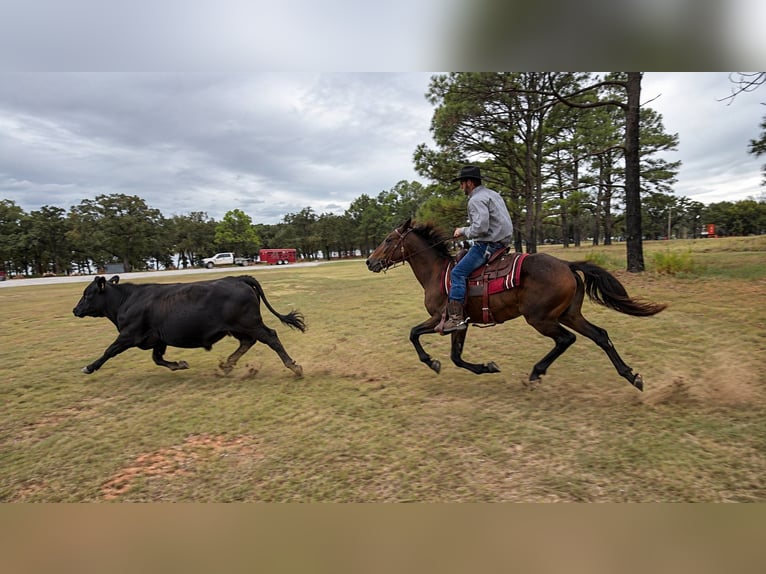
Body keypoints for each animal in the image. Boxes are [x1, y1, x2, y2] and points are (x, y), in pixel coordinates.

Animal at [365, 218, 666, 391]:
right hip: (569, 314)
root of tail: (567, 265)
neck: (438, 273)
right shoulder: (459, 325)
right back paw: (631, 376)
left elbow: (415, 334)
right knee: (600, 336)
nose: (370, 261)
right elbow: (456, 357)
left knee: (565, 340)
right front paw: (486, 367)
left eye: (389, 240)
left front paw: (433, 362)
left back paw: (535, 373)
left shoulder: (443, 319)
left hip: (540, 318)